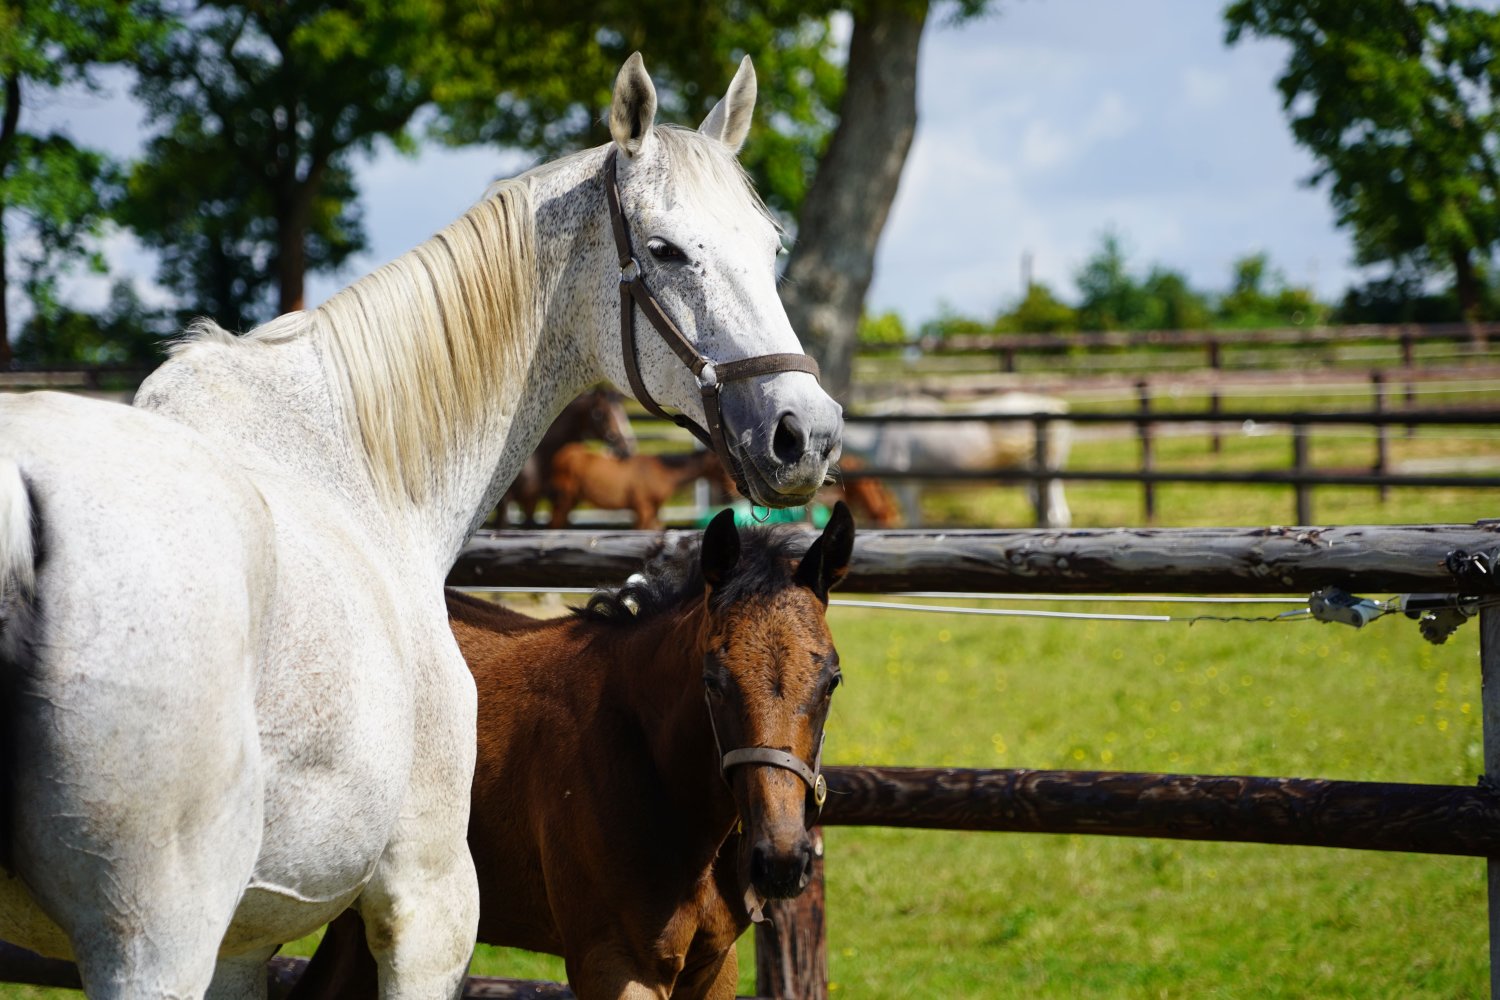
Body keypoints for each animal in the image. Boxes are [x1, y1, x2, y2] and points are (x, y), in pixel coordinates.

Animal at [548, 443, 726, 529]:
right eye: (719, 466)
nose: (731, 489)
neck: (662, 471)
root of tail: (563, 454)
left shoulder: (654, 509)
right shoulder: (643, 507)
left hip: (573, 499)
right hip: (564, 497)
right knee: (555, 523)